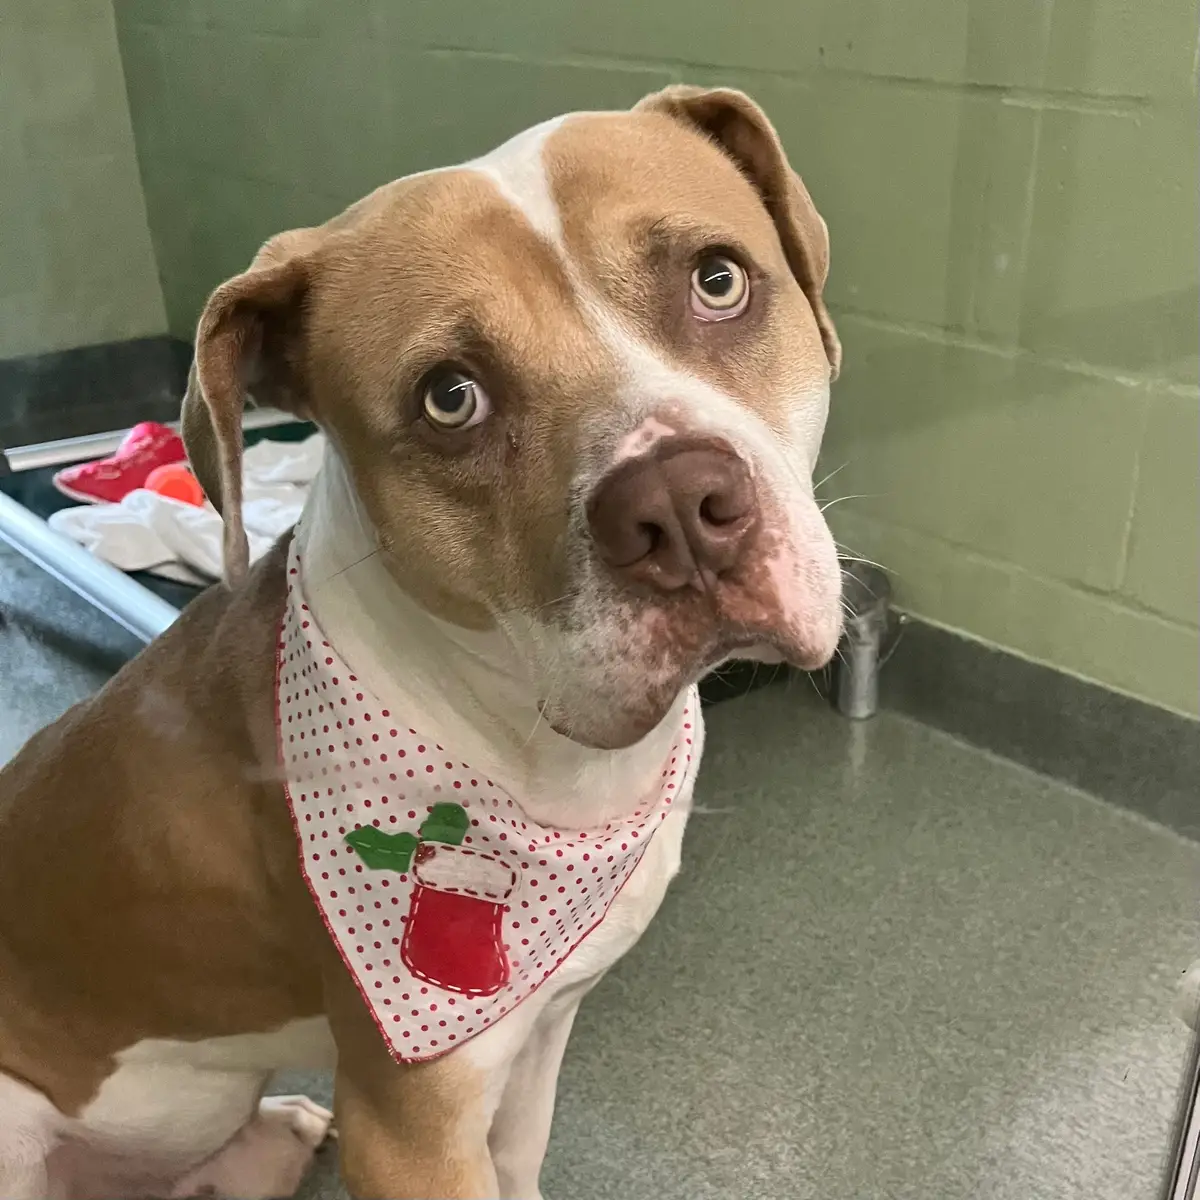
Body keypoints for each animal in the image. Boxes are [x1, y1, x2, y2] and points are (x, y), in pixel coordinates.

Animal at [0, 87, 844, 1200]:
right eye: (451, 398)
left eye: (718, 280)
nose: (675, 504)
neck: (541, 753)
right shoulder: (408, 1124)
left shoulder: (541, 1034)